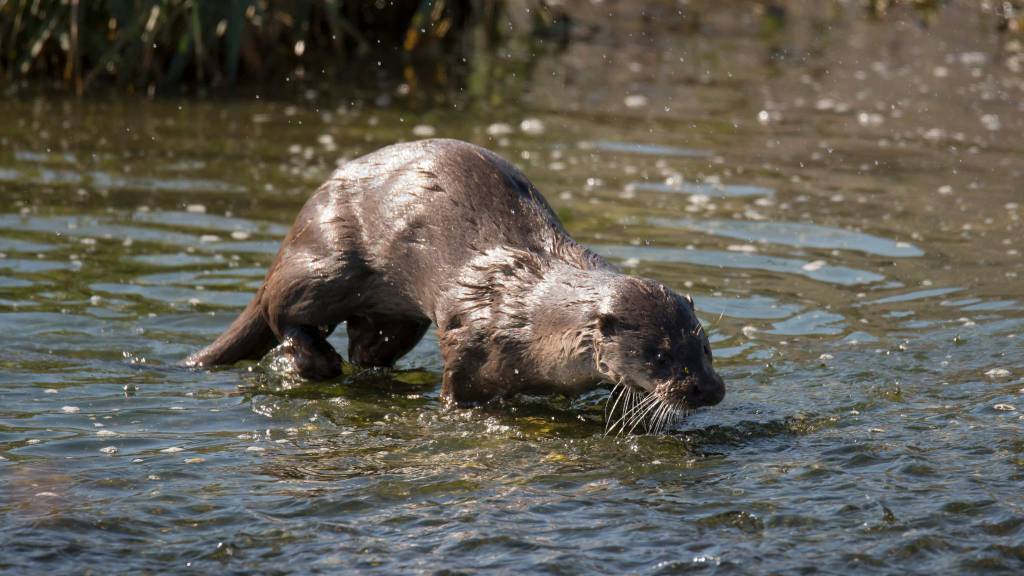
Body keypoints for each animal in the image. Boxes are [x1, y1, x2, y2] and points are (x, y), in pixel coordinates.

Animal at [186, 138, 729, 424]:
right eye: (659, 355)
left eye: (703, 348)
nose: (707, 389)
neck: (529, 315)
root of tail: (297, 224)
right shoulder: (470, 334)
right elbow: (459, 387)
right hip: (325, 263)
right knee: (282, 313)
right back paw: (318, 361)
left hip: (393, 317)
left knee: (369, 347)